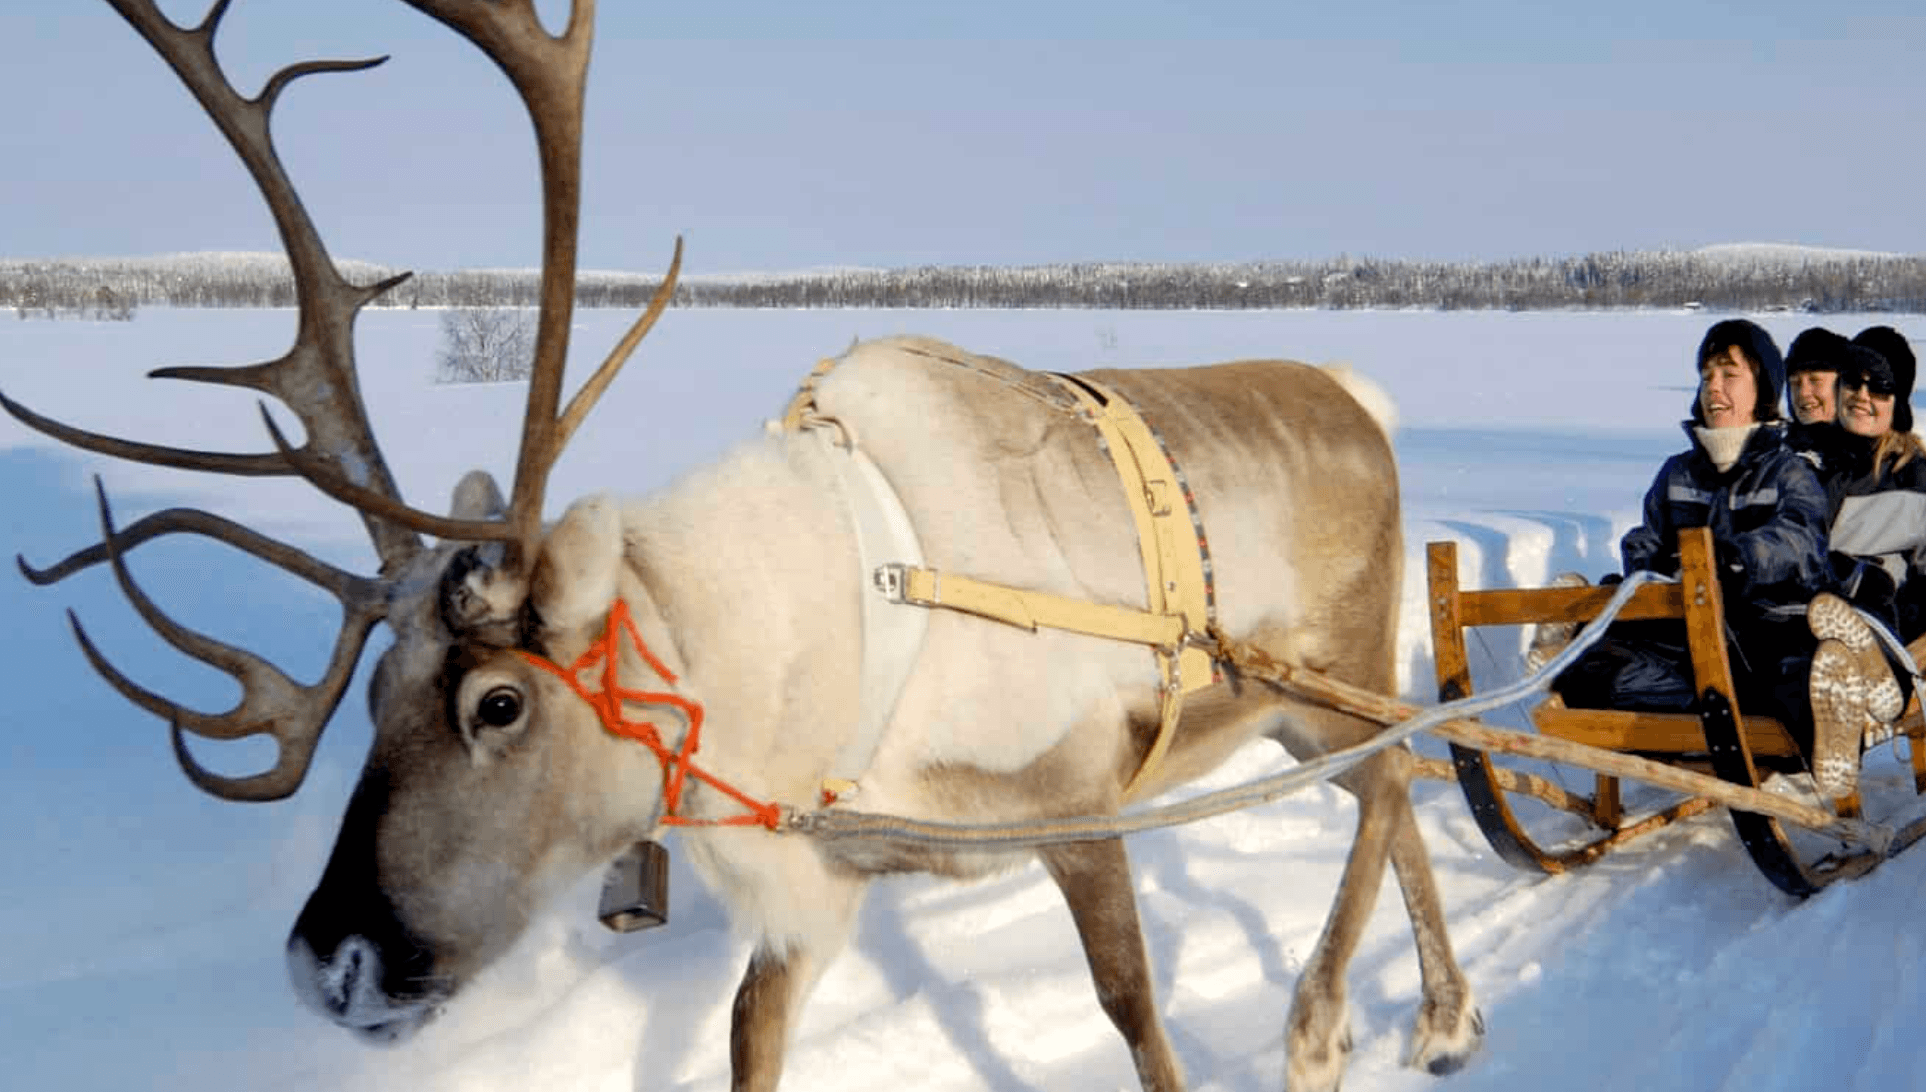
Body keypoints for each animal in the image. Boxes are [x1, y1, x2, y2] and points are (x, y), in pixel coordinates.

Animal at [6, 3, 1483, 1091]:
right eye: (371, 692)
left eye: (499, 703)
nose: (332, 965)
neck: (822, 655)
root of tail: (1359, 397)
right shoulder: (816, 883)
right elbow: (746, 1041)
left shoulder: (1072, 804)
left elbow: (1133, 1011)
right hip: (1291, 709)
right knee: (1404, 780)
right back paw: (1442, 1017)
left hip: (1329, 670)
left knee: (1396, 768)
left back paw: (1324, 1025)